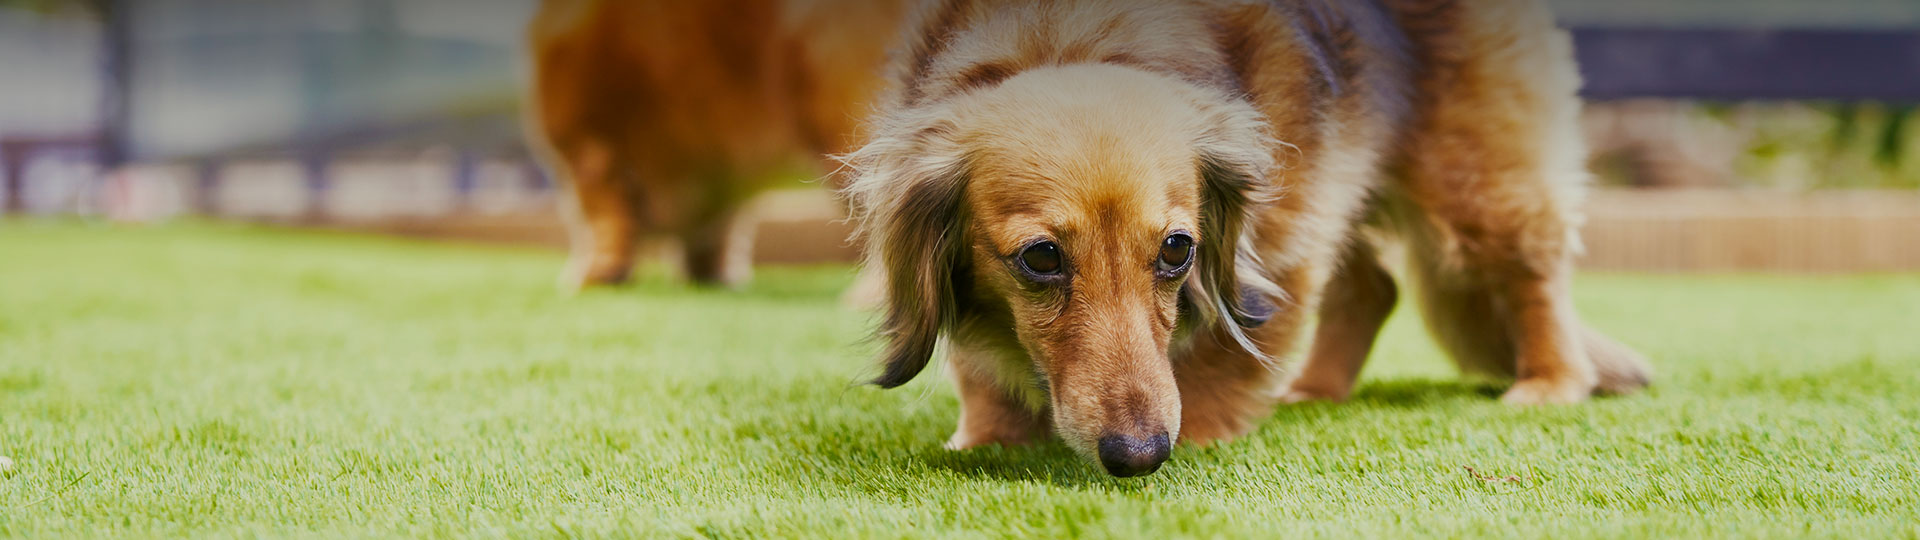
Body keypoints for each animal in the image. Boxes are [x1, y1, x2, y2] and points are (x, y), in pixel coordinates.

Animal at [840, 0, 1651, 474]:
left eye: (1177, 249)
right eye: (1041, 259)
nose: (1138, 455)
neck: (1063, 35)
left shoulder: (1281, 236)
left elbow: (1228, 350)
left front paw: (1201, 432)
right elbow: (980, 367)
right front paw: (992, 436)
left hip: (1474, 180)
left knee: (1531, 274)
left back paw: (1551, 381)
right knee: (1373, 287)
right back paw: (1316, 390)